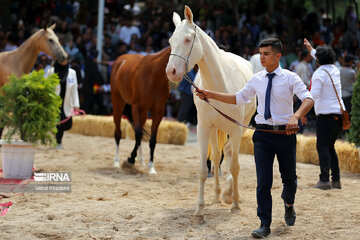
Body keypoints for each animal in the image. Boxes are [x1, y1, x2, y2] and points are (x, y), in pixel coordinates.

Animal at [166, 5, 256, 221]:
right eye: (171, 41)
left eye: (187, 39)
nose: (171, 71)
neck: (219, 85)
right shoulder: (204, 128)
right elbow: (203, 168)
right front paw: (200, 209)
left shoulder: (237, 129)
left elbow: (235, 166)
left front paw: (236, 204)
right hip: (216, 129)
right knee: (217, 156)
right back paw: (217, 195)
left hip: (240, 126)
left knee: (230, 152)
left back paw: (230, 194)